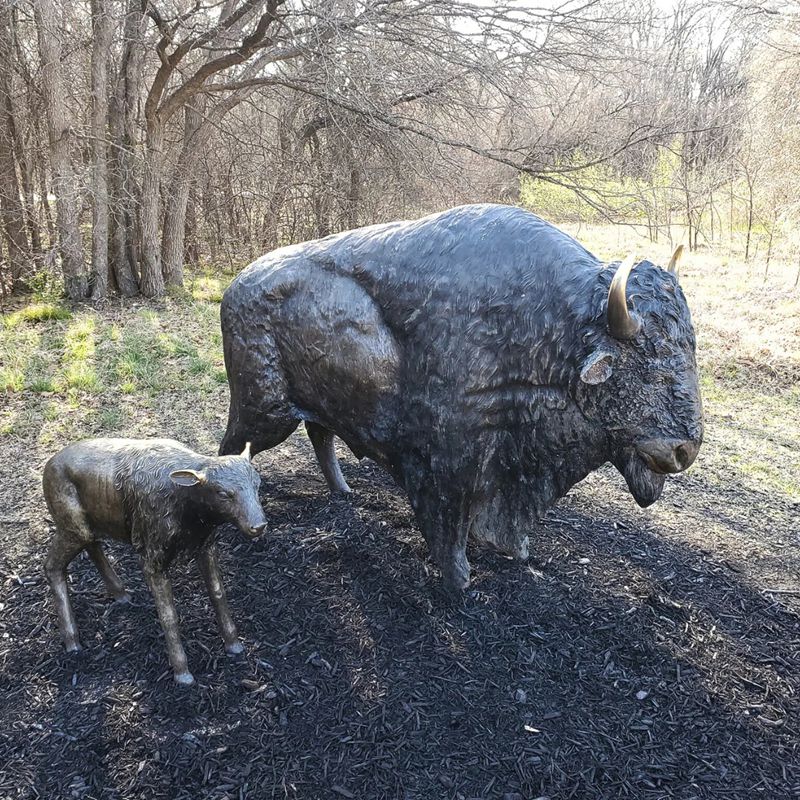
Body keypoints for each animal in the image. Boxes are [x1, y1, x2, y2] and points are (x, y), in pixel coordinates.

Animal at [219, 204, 703, 591]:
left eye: (690, 351)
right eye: (647, 367)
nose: (685, 449)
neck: (553, 326)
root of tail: (236, 285)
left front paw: (516, 554)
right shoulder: (450, 461)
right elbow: (448, 525)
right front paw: (459, 582)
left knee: (321, 435)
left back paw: (343, 492)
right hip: (263, 412)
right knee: (233, 446)